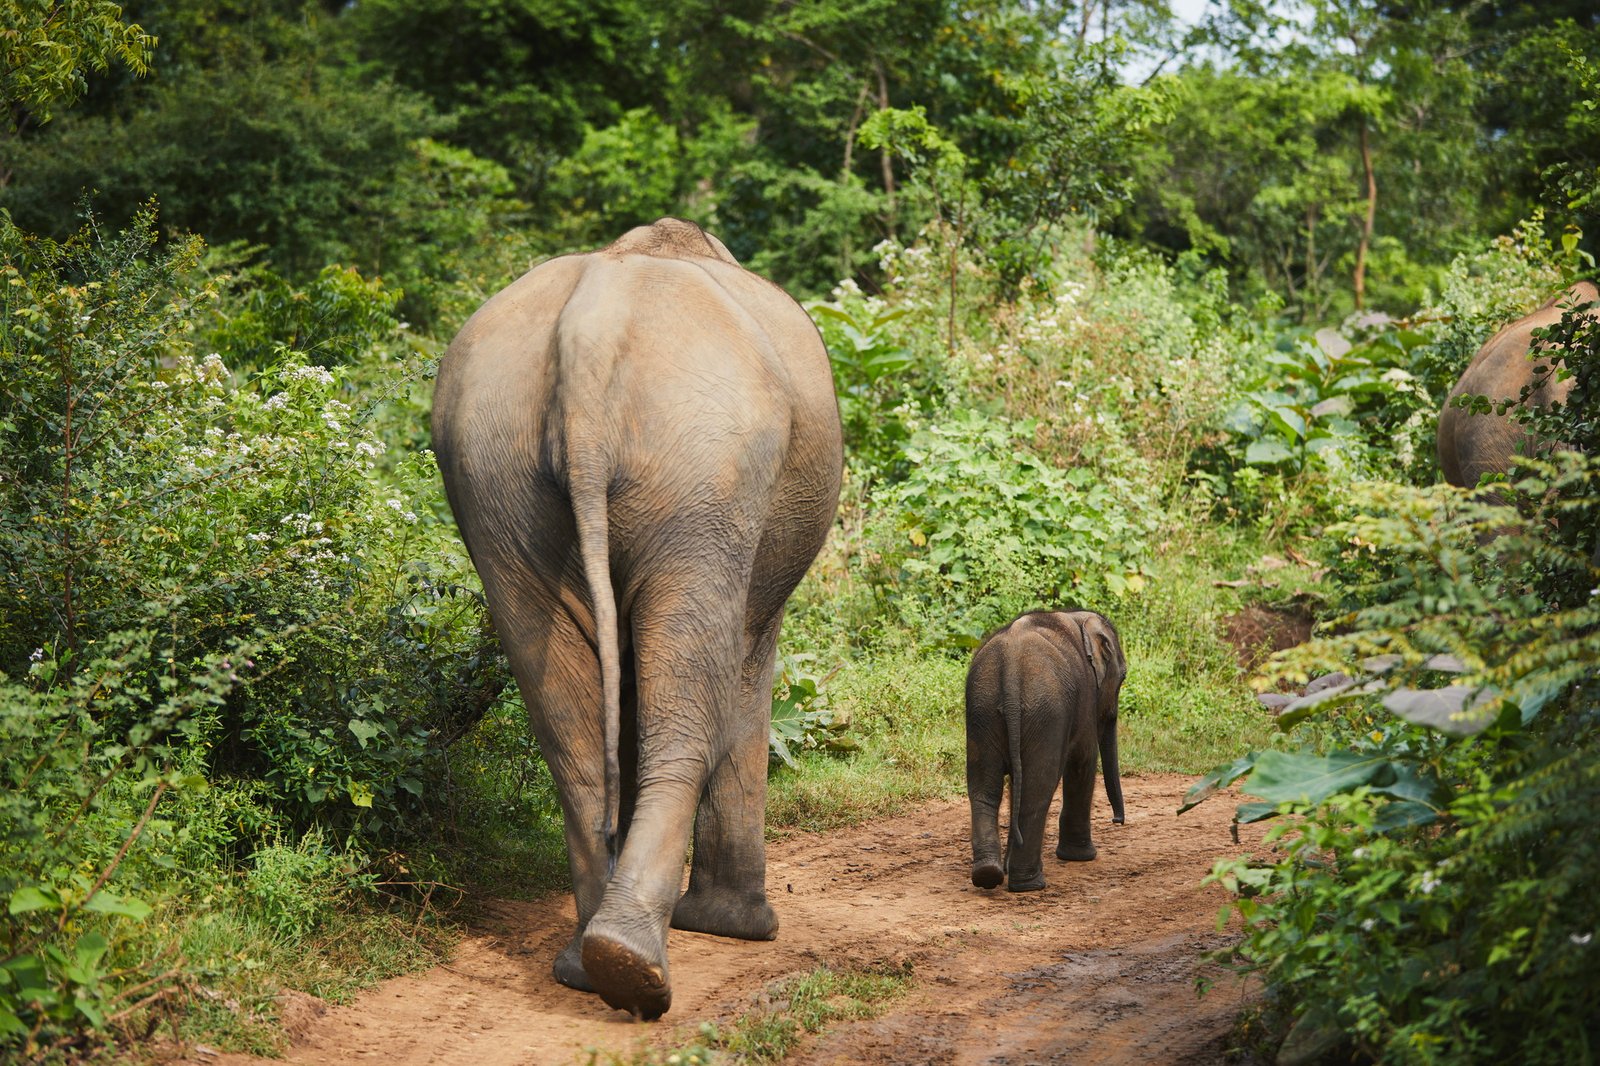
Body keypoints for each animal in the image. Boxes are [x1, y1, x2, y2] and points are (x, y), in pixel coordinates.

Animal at [431, 218, 843, 1019]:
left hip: (496, 473)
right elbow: (748, 661)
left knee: (568, 722)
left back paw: (592, 968)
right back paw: (637, 970)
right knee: (692, 687)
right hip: (705, 468)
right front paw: (739, 929)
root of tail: (590, 335)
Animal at [966, 609, 1127, 893]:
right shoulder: (1086, 697)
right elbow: (1083, 759)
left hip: (981, 708)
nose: (1117, 821)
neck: (1077, 616)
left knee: (984, 789)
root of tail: (1010, 664)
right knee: (1037, 790)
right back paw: (1029, 884)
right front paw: (1082, 857)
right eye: (1122, 678)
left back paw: (989, 875)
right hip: (1046, 711)